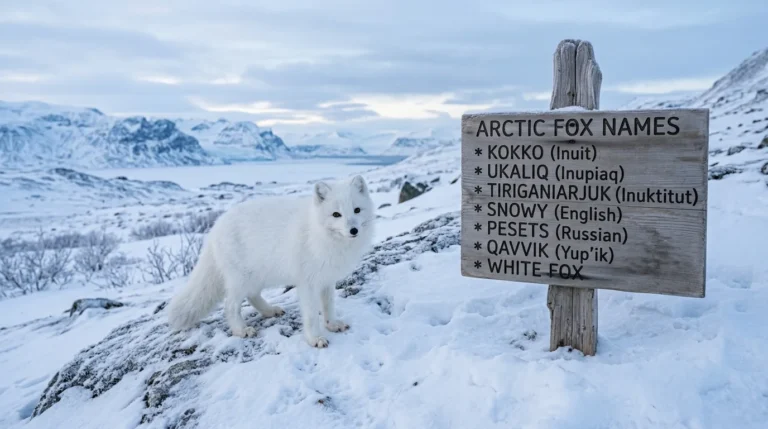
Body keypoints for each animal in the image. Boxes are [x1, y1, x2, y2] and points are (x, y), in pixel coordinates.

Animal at [167, 175, 375, 348]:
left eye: (357, 210)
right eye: (336, 214)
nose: (354, 230)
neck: (318, 233)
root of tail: (215, 228)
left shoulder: (327, 279)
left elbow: (328, 307)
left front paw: (332, 325)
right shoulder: (307, 283)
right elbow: (310, 315)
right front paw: (314, 339)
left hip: (258, 275)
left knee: (252, 296)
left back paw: (269, 311)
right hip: (240, 279)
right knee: (230, 305)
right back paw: (241, 330)